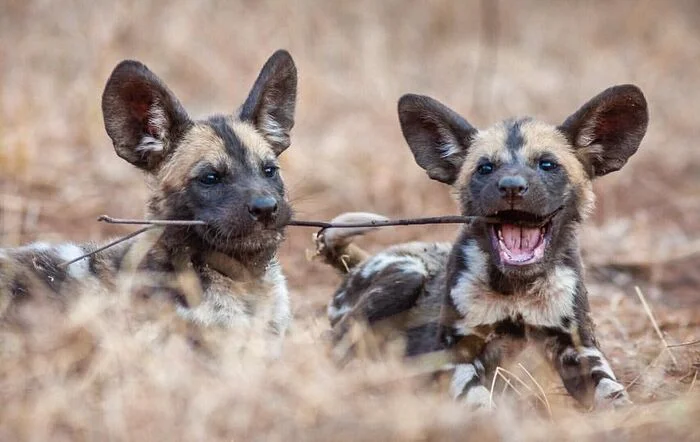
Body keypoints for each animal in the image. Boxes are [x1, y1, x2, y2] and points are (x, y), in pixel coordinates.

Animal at [314, 84, 648, 410]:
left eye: (547, 164)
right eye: (485, 168)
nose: (511, 186)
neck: (518, 289)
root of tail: (360, 263)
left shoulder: (578, 349)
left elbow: (612, 394)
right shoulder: (458, 352)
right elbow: (478, 402)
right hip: (406, 277)